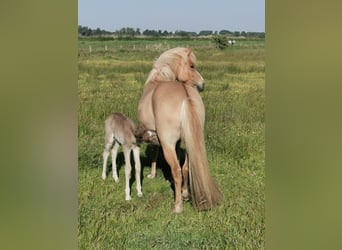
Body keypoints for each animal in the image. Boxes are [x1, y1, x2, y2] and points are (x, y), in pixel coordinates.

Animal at [136, 47, 222, 213]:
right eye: (192, 66)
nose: (202, 85)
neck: (157, 81)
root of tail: (185, 95)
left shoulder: (158, 137)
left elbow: (155, 153)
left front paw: (151, 174)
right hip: (189, 143)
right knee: (185, 167)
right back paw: (185, 194)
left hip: (168, 143)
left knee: (176, 170)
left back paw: (177, 206)